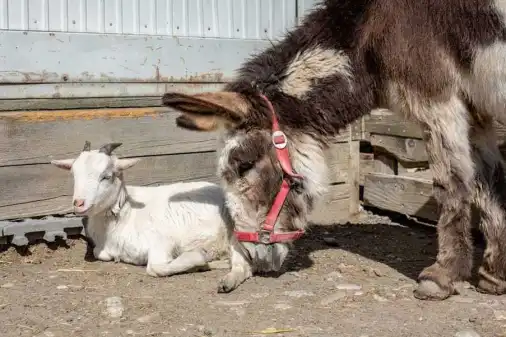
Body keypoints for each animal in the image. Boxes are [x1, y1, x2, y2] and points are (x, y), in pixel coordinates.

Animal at [51, 141, 229, 276]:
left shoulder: (163, 240)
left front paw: (201, 258)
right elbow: (98, 252)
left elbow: (156, 268)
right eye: (74, 175)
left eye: (106, 176)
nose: (79, 203)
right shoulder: (104, 248)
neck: (127, 216)